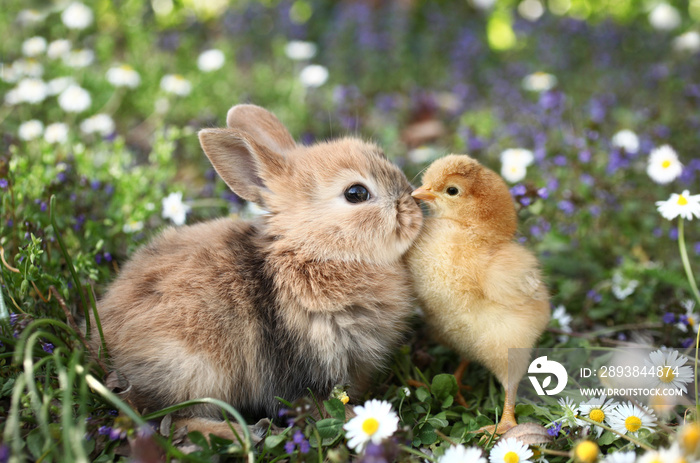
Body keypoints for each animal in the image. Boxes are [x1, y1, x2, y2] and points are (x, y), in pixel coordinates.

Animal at [90, 103, 424, 436]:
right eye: (356, 193)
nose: (414, 206)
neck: (312, 250)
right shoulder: (303, 365)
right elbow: (314, 403)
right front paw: (358, 419)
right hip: (192, 369)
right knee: (171, 421)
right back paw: (245, 432)